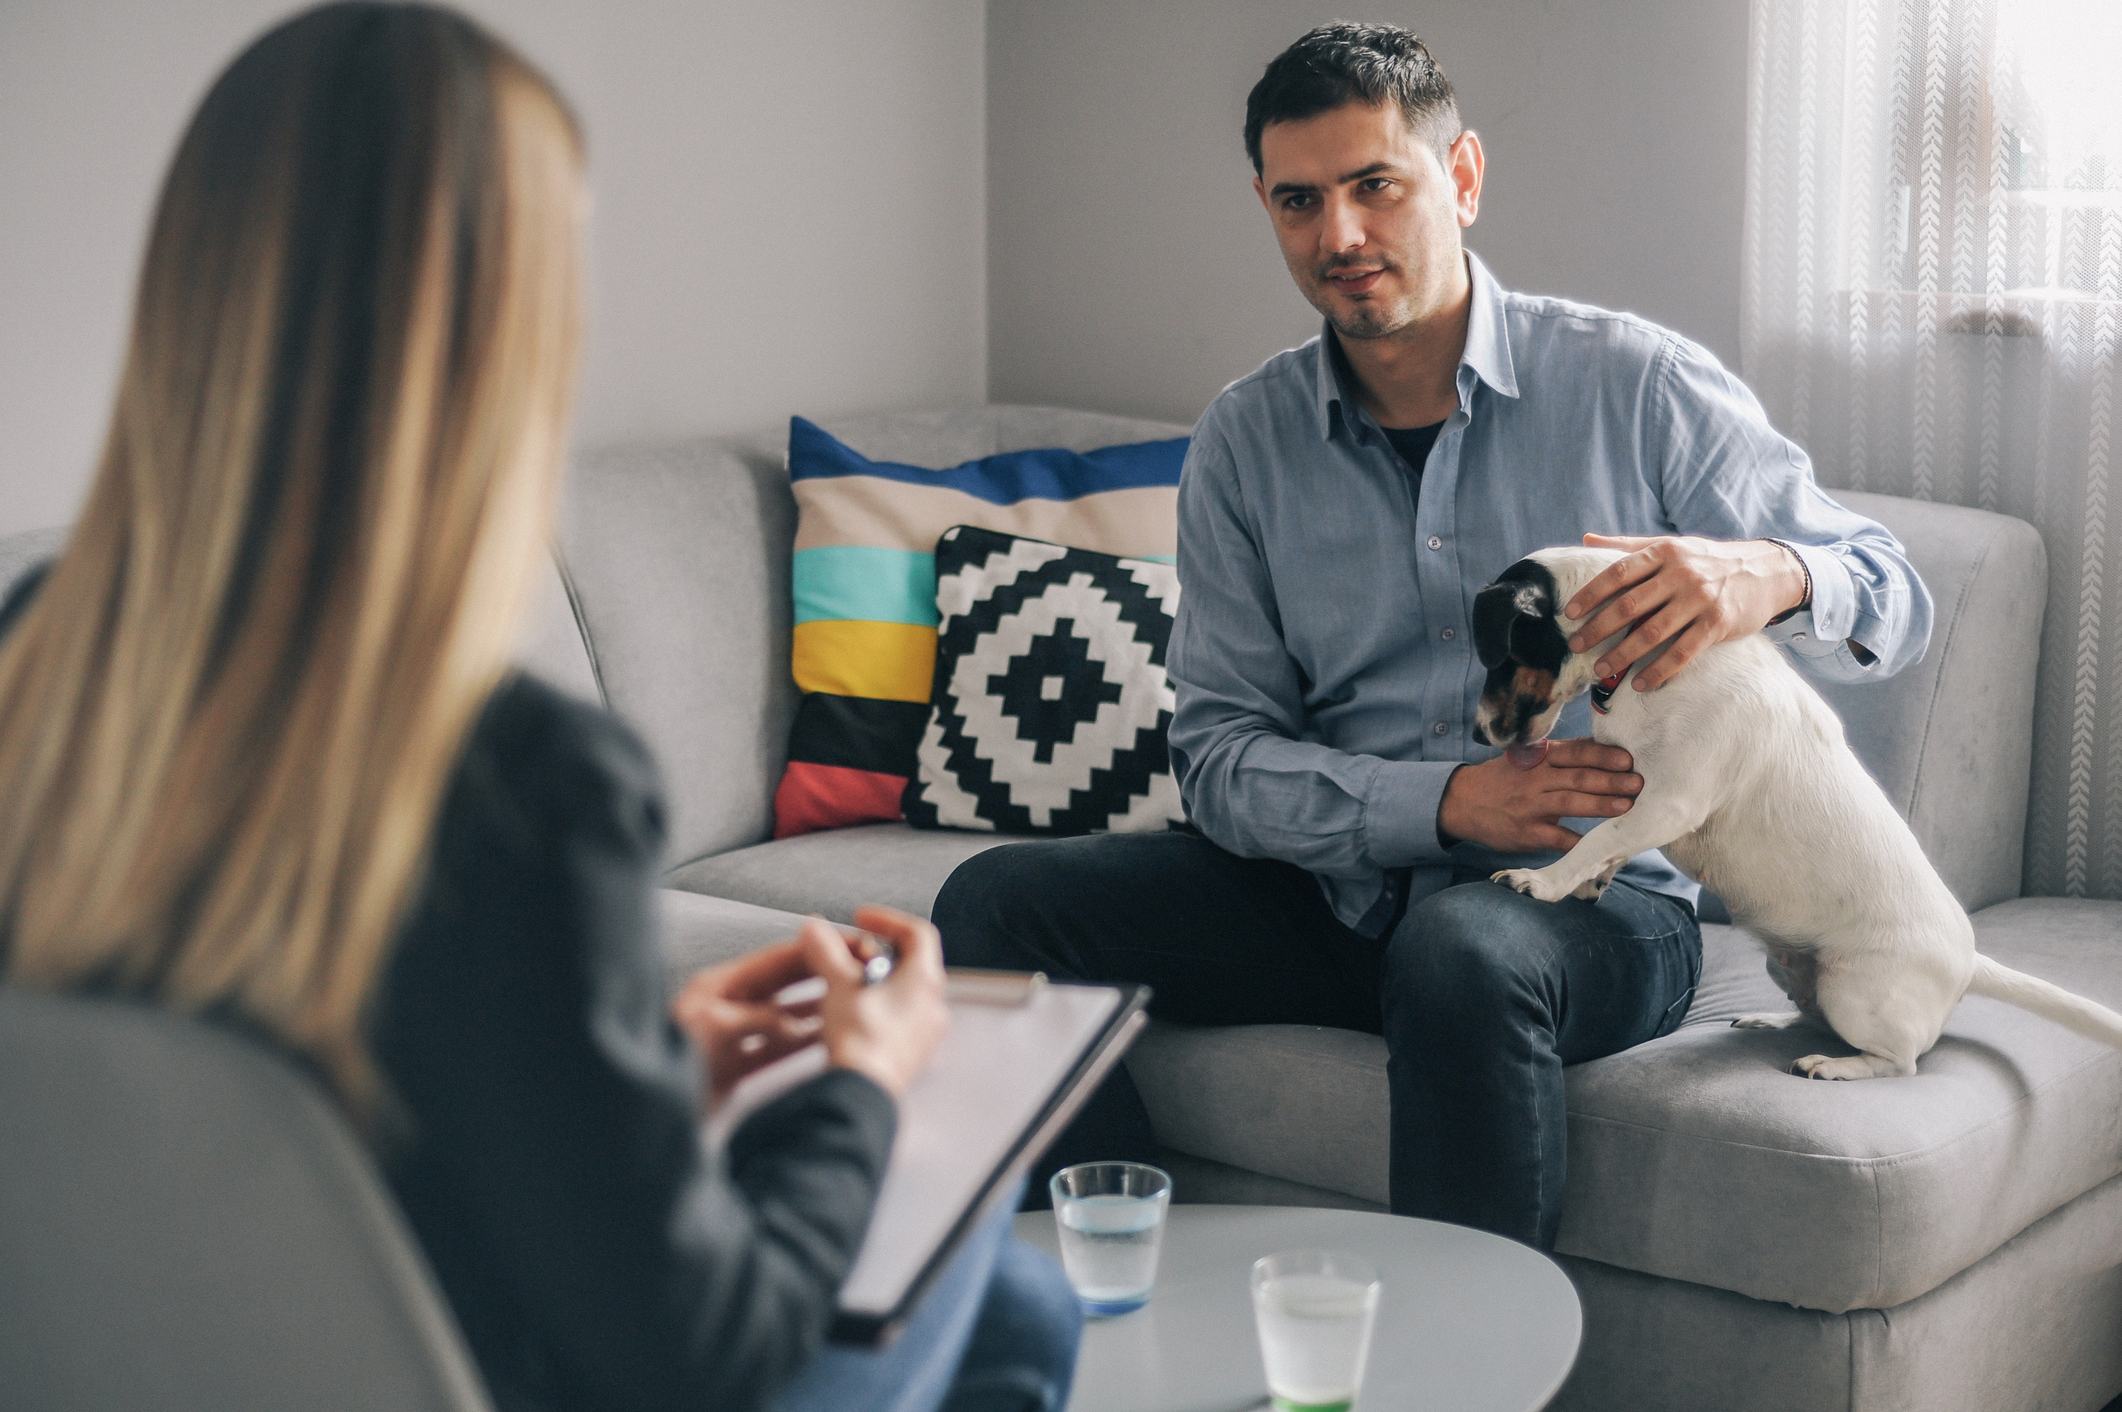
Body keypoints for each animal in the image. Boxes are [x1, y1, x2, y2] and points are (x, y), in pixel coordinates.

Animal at [1476, 543, 2122, 1074]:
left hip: (1852, 990)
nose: (1480, 735)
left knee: (1900, 1062)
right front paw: (1586, 883)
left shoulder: (1671, 802)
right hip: (1790, 969)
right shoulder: (1639, 797)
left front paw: (1541, 881)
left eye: (1499, 656)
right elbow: (1608, 842)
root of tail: (1969, 960)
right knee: (1819, 1019)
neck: (1641, 657)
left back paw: (1834, 1067)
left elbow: (1597, 837)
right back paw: (1773, 1020)